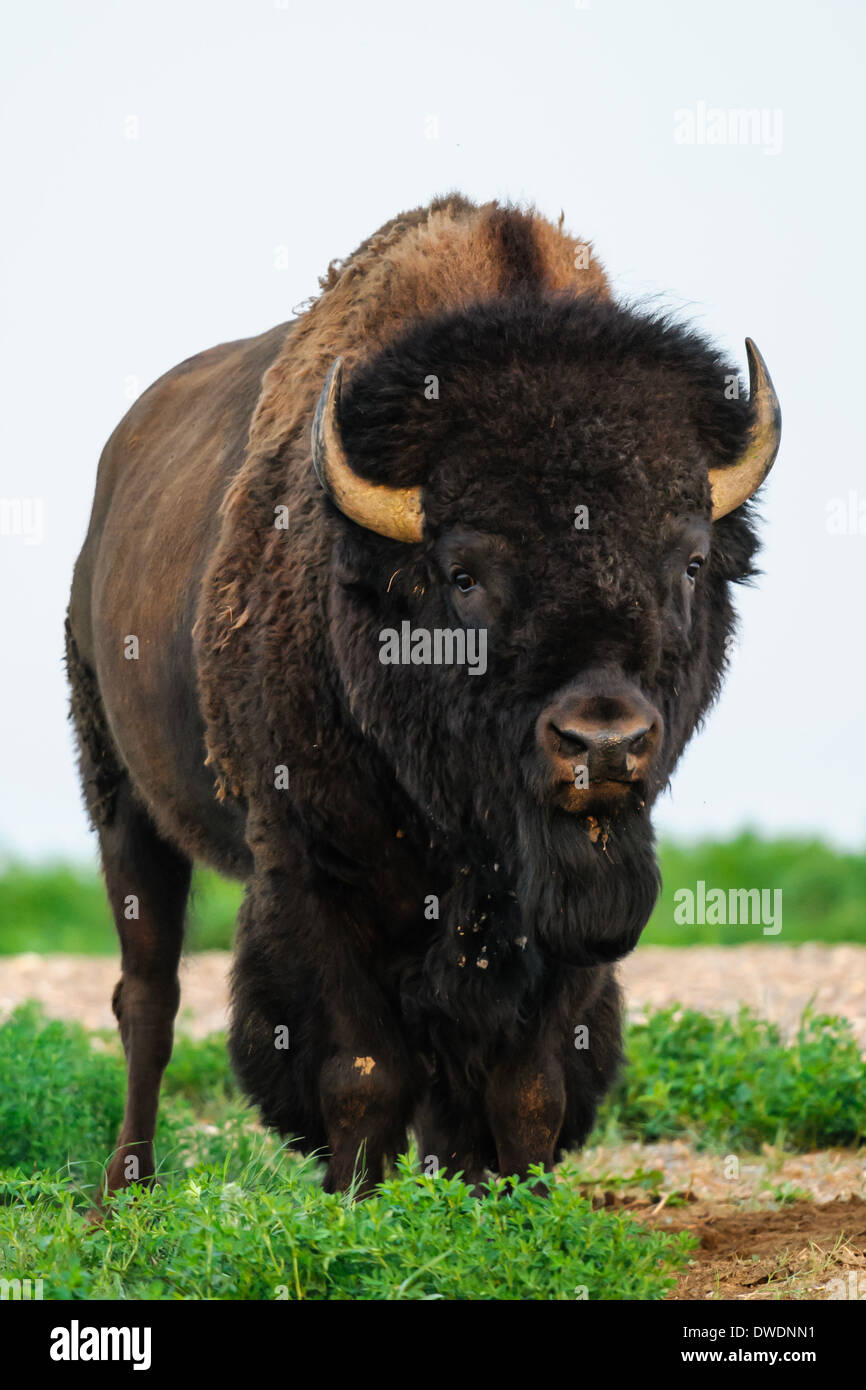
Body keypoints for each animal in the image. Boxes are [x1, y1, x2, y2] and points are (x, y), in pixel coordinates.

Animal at [67, 195, 783, 1206]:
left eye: (688, 560)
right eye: (464, 573)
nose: (602, 743)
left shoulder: (567, 909)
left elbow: (528, 1081)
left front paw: (517, 1211)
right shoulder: (311, 868)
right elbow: (363, 1072)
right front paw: (356, 1209)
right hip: (121, 799)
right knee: (149, 996)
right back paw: (120, 1193)